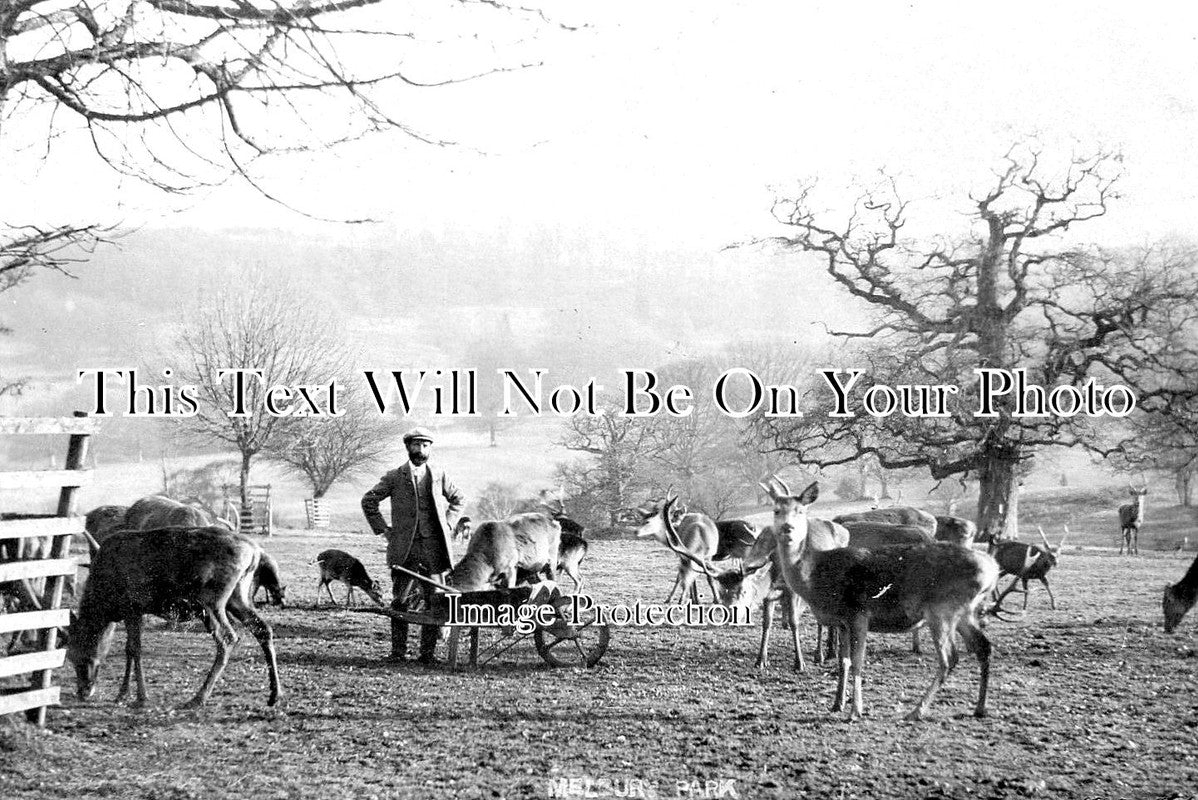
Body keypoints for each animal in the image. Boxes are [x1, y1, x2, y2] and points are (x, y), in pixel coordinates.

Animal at [67, 526, 280, 708]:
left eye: (77, 654)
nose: (83, 692)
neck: (106, 604)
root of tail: (256, 553)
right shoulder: (138, 610)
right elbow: (131, 649)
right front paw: (126, 694)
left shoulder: (131, 607)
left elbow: (133, 649)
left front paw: (136, 696)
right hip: (238, 596)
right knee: (263, 628)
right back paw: (274, 694)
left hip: (211, 600)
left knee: (228, 637)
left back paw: (199, 697)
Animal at [757, 471, 1001, 723]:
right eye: (776, 510)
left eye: (800, 510)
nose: (787, 528)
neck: (816, 577)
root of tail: (992, 569)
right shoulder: (842, 622)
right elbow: (844, 661)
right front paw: (837, 704)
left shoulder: (859, 613)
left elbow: (857, 663)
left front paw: (855, 711)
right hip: (964, 612)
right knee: (984, 647)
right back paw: (980, 708)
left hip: (943, 609)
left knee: (949, 659)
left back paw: (917, 710)